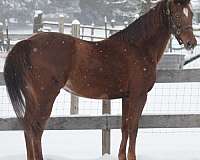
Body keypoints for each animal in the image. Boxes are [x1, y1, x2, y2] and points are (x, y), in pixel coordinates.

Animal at [3, 0, 197, 159]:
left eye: (191, 14)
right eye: (177, 15)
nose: (191, 43)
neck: (138, 47)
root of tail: (28, 42)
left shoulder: (126, 97)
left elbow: (125, 127)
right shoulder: (139, 96)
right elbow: (134, 128)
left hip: (33, 98)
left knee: (28, 126)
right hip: (45, 97)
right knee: (36, 129)